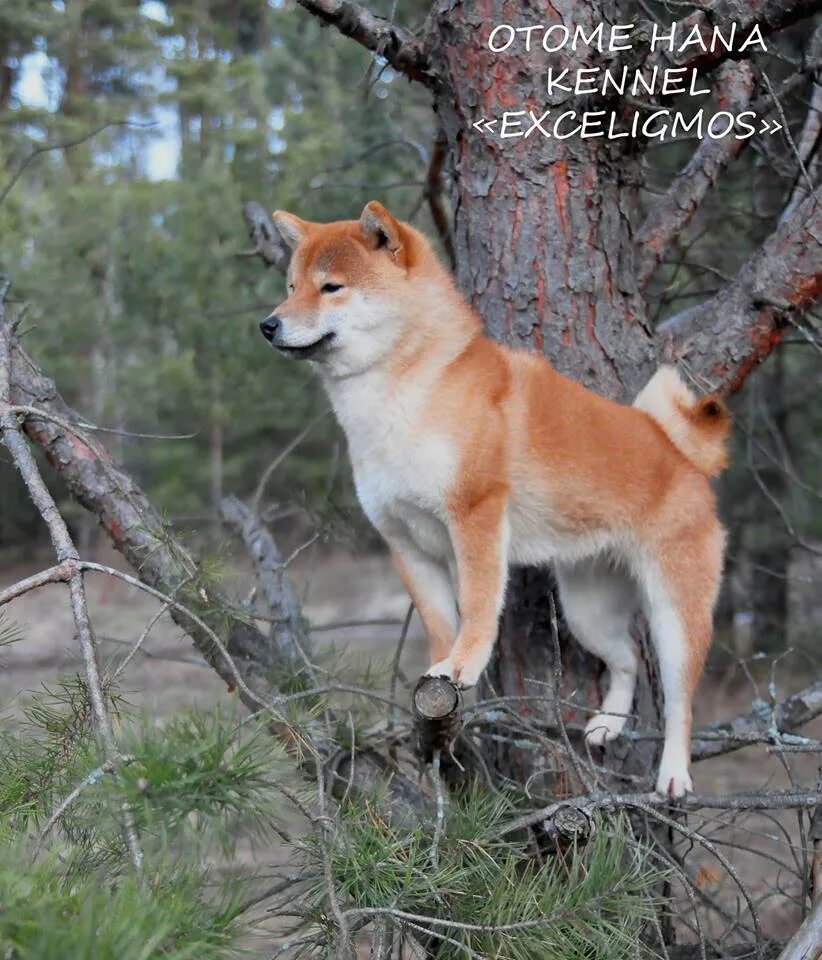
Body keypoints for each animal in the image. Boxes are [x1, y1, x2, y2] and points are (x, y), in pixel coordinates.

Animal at [260, 201, 732, 796]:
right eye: (291, 285)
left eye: (331, 287)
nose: (268, 324)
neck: (402, 394)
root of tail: (677, 451)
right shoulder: (405, 543)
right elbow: (441, 623)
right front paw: (443, 674)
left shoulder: (475, 516)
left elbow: (479, 606)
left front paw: (463, 666)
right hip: (587, 607)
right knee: (625, 660)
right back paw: (606, 723)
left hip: (674, 614)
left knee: (679, 700)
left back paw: (673, 774)